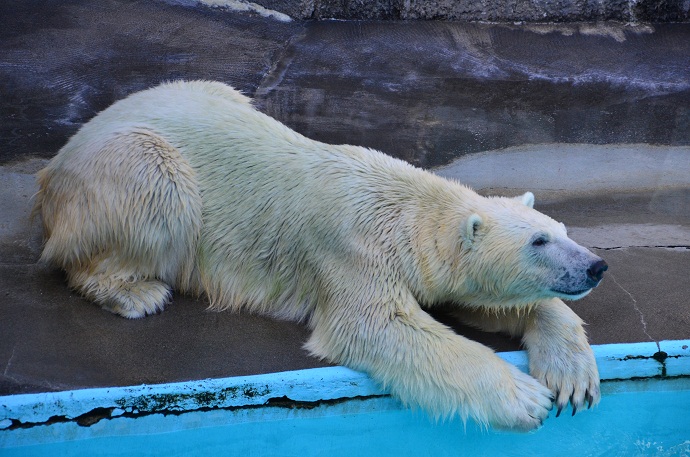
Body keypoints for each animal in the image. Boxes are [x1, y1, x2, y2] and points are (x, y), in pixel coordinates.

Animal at [35, 81, 608, 432]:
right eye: (537, 243)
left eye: (560, 231)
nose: (595, 266)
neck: (407, 207)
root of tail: (56, 163)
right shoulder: (355, 248)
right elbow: (376, 324)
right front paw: (525, 397)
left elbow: (482, 302)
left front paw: (571, 376)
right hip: (128, 167)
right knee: (156, 193)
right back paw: (135, 292)